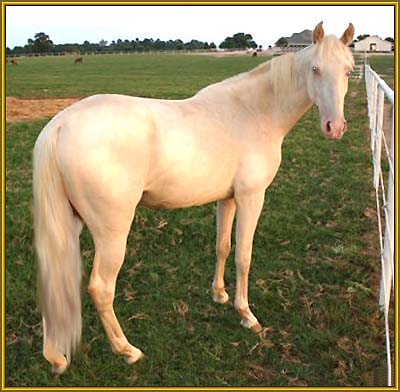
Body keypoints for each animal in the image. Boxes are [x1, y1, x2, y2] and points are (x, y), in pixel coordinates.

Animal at [32, 23, 354, 376]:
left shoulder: (228, 199)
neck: (253, 112)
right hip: (111, 233)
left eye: (349, 71)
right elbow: (244, 255)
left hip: (68, 225)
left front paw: (220, 295)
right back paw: (128, 350)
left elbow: (223, 246)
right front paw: (247, 316)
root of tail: (61, 124)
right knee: (101, 288)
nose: (335, 127)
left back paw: (56, 358)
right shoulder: (252, 197)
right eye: (315, 69)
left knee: (54, 282)